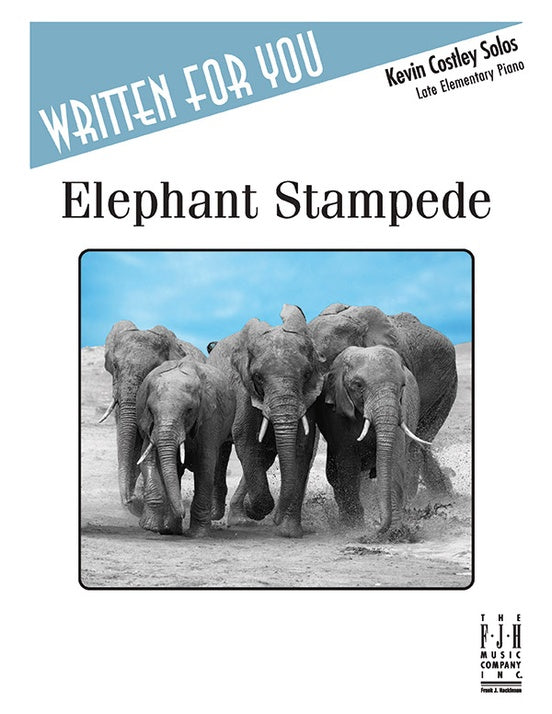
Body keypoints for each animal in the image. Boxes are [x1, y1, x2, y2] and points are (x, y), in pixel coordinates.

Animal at [135, 357, 235, 536]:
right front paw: (152, 527)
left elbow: (205, 464)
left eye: (189, 410)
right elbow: (148, 460)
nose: (182, 513)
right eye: (151, 410)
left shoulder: (210, 417)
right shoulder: (148, 423)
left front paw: (198, 534)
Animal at [208, 304, 325, 538]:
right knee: (222, 450)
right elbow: (246, 438)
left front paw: (288, 530)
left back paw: (241, 519)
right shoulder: (243, 389)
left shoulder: (307, 399)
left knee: (265, 457)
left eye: (307, 374)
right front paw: (256, 509)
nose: (277, 519)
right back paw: (217, 514)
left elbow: (301, 446)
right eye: (258, 377)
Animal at [316, 345, 430, 533]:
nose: (376, 527)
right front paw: (355, 528)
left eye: (403, 386)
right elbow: (348, 466)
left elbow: (394, 461)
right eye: (358, 385)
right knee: (333, 476)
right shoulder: (338, 414)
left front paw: (395, 532)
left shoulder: (400, 410)